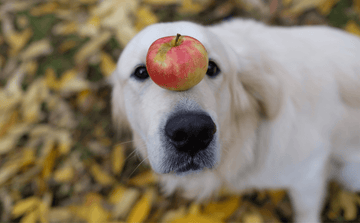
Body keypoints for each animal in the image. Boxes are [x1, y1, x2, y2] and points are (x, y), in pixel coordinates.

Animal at [111, 18, 360, 221]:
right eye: (141, 72)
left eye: (212, 68)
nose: (192, 132)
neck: (245, 140)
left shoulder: (309, 170)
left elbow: (305, 211)